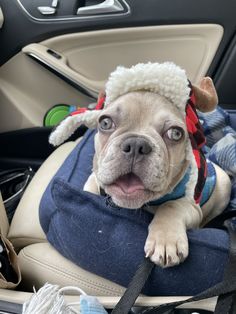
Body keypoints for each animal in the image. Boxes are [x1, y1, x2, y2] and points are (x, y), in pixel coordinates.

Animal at [48, 63, 231, 268]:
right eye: (105, 122)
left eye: (176, 133)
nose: (136, 144)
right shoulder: (94, 178)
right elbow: (92, 188)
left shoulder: (192, 205)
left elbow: (171, 206)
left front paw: (165, 240)